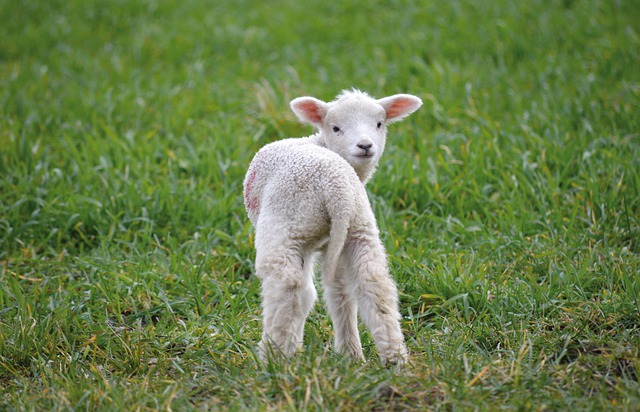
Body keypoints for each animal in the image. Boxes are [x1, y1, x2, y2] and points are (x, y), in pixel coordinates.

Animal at [242, 88, 422, 366]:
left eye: (379, 124)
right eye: (336, 128)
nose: (365, 146)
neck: (319, 142)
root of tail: (336, 189)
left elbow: (306, 294)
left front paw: (293, 347)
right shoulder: (330, 244)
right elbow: (336, 293)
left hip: (286, 225)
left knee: (287, 285)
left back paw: (272, 359)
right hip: (358, 228)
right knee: (374, 283)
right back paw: (391, 360)